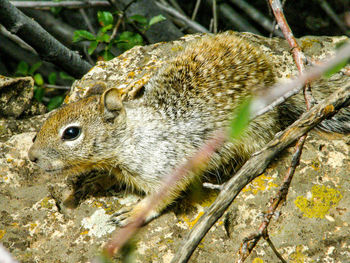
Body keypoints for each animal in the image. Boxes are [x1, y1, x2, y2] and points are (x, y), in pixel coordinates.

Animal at [27, 32, 350, 226]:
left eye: (71, 133)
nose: (31, 157)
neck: (131, 138)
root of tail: (276, 83)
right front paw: (95, 180)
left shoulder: (169, 165)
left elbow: (163, 195)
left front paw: (134, 211)